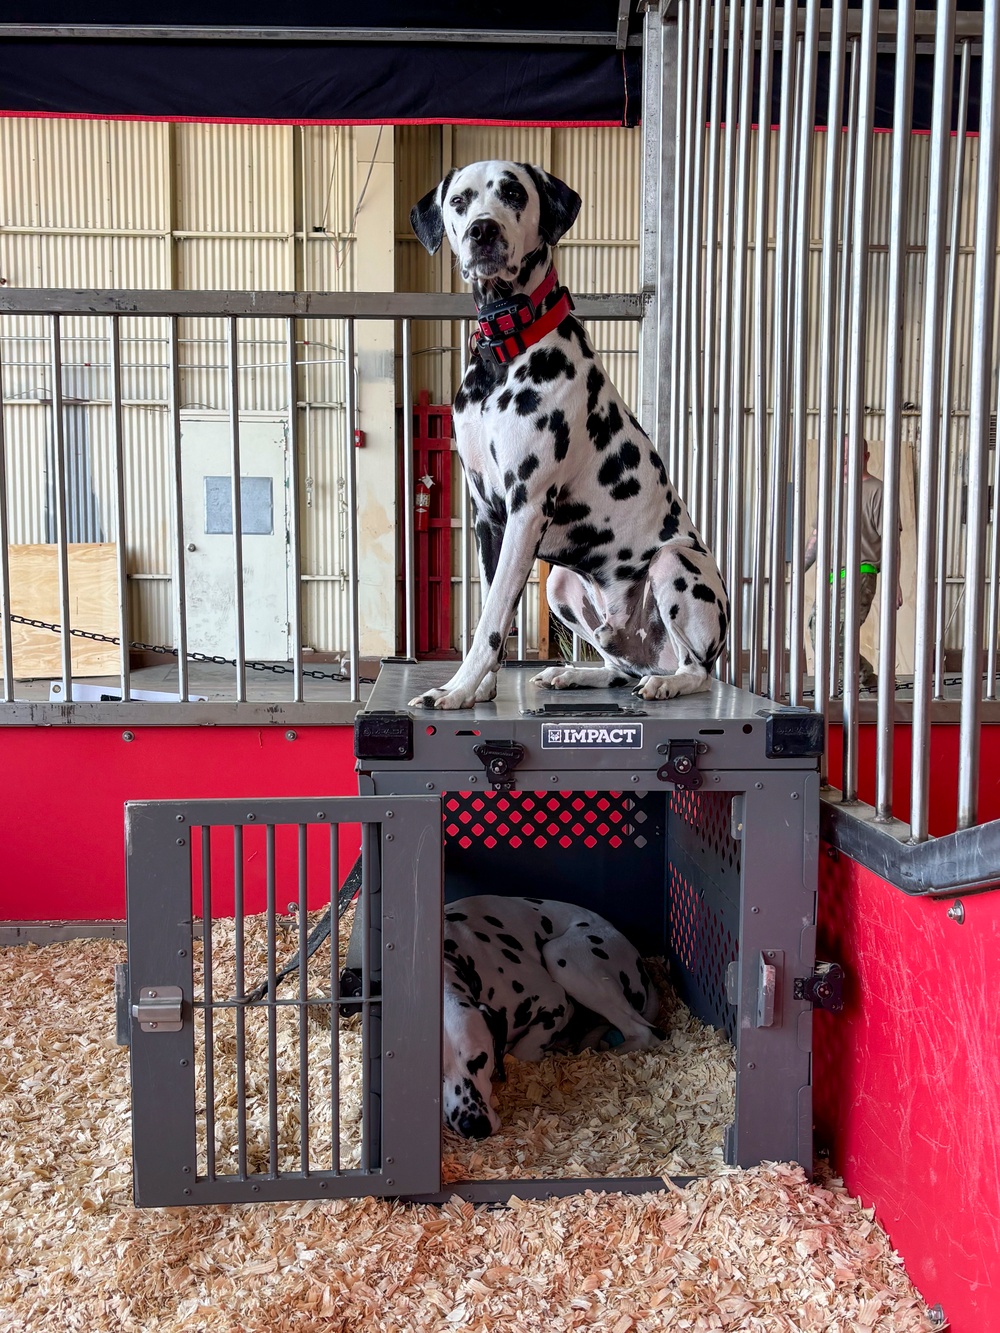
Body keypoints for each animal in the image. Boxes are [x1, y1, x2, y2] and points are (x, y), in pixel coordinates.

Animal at [408, 161, 730, 714]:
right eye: (459, 201)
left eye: (513, 192)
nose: (482, 231)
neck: (505, 351)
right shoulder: (488, 516)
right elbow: (496, 607)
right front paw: (481, 688)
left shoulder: (527, 508)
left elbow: (492, 617)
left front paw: (459, 687)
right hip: (562, 584)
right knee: (619, 667)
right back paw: (575, 673)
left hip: (674, 564)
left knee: (698, 671)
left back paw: (670, 683)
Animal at [442, 895, 661, 1135]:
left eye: (480, 1059)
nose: (474, 1125)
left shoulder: (556, 1001)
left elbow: (520, 1052)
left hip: (561, 956)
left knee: (642, 1032)